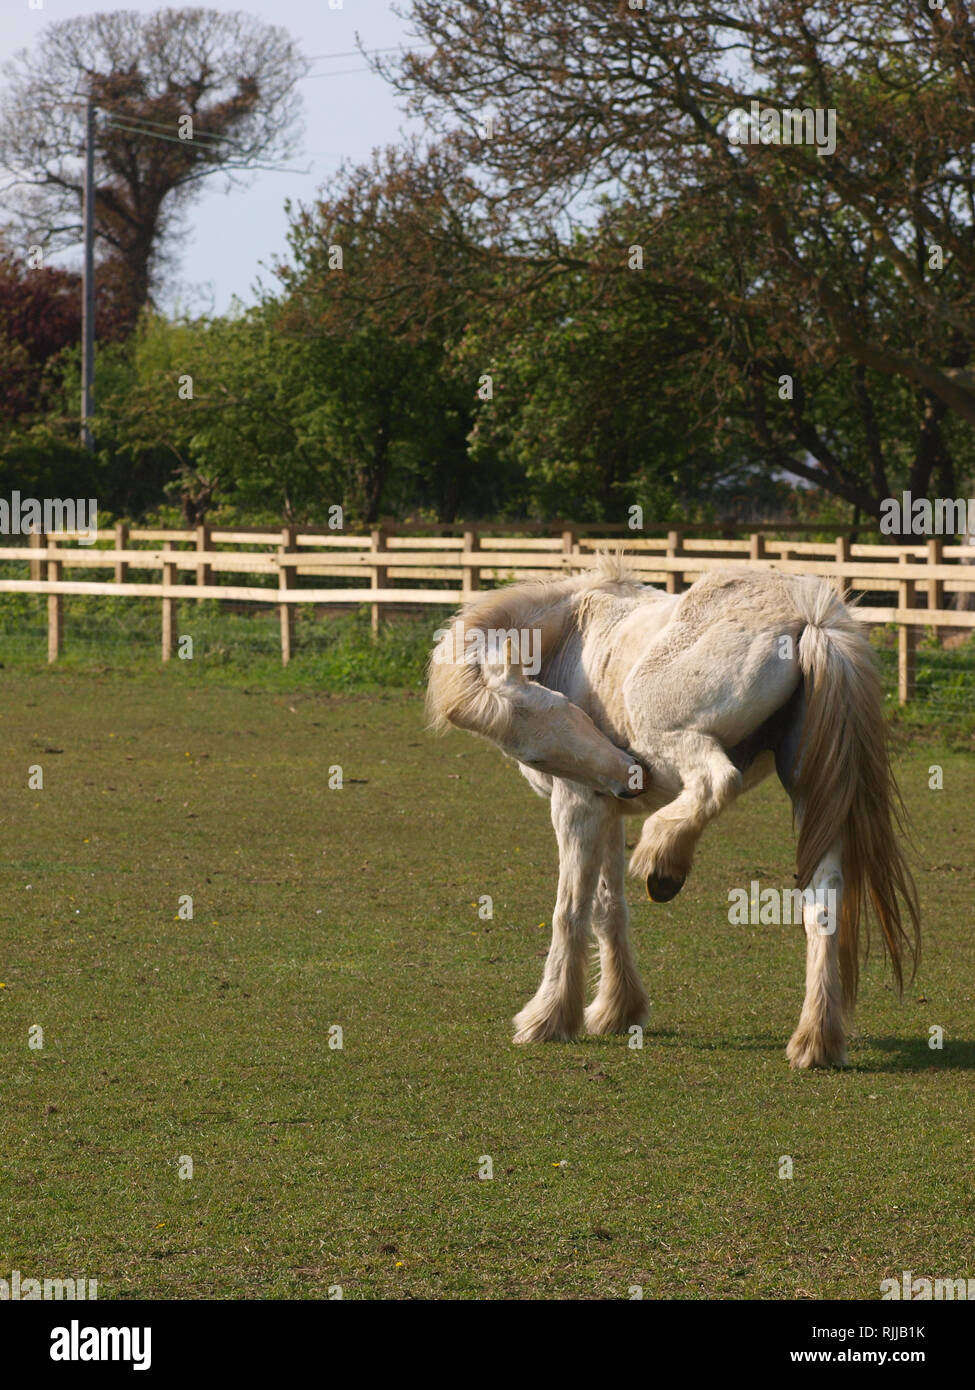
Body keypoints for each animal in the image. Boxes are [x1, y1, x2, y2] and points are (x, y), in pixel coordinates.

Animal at [426, 554, 920, 1068]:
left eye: (564, 710)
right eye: (536, 756)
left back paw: (663, 858)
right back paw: (815, 1041)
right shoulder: (607, 810)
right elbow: (607, 906)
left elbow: (572, 908)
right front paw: (617, 1010)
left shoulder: (577, 804)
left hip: (675, 735)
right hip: (811, 794)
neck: (574, 626)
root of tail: (812, 616)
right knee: (822, 905)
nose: (630, 777)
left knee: (716, 783)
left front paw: (548, 1018)